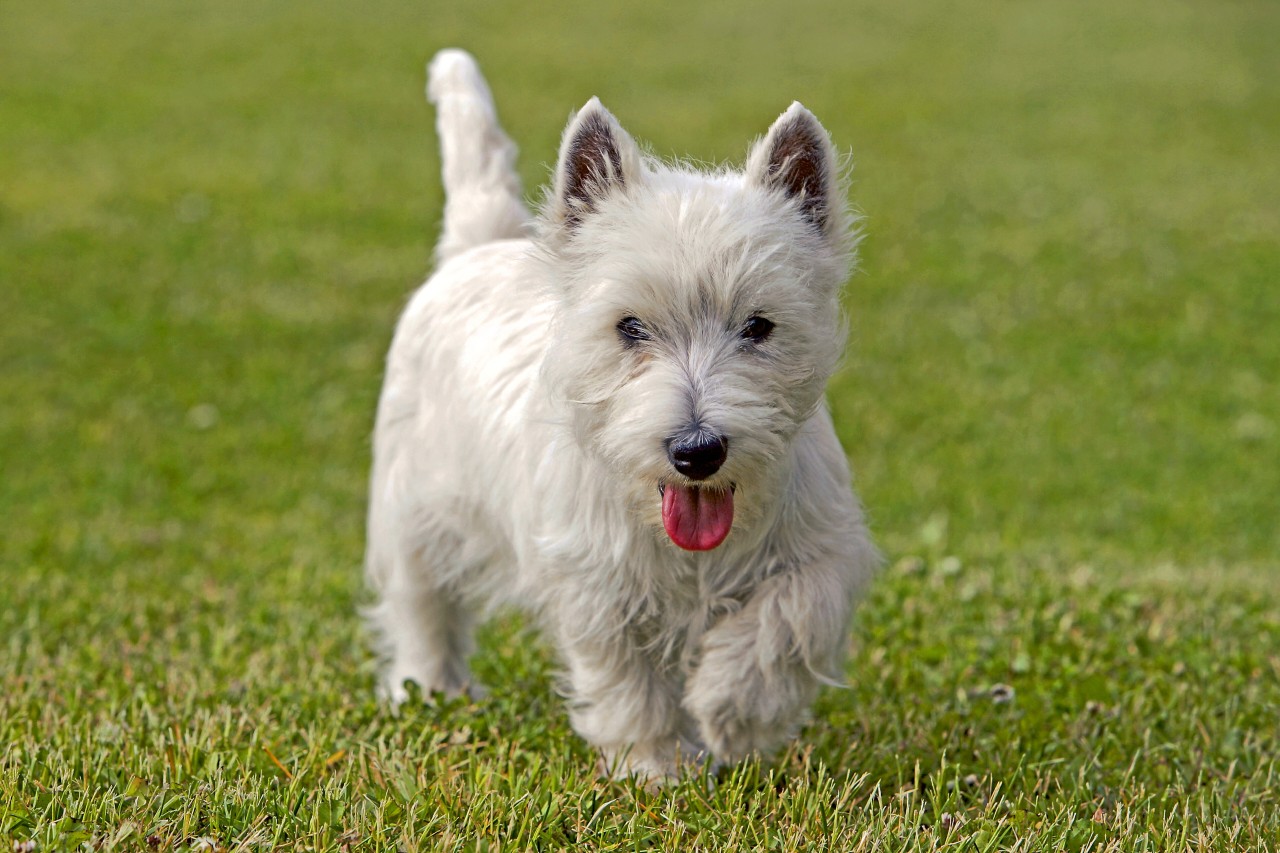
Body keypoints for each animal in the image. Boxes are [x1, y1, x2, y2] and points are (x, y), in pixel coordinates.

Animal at [366, 48, 875, 778]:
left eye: (759, 326)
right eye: (630, 327)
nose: (697, 451)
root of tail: (478, 246)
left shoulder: (824, 545)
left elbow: (790, 615)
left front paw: (732, 709)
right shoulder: (595, 580)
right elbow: (628, 679)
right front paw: (657, 766)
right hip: (412, 508)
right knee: (421, 604)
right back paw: (428, 688)